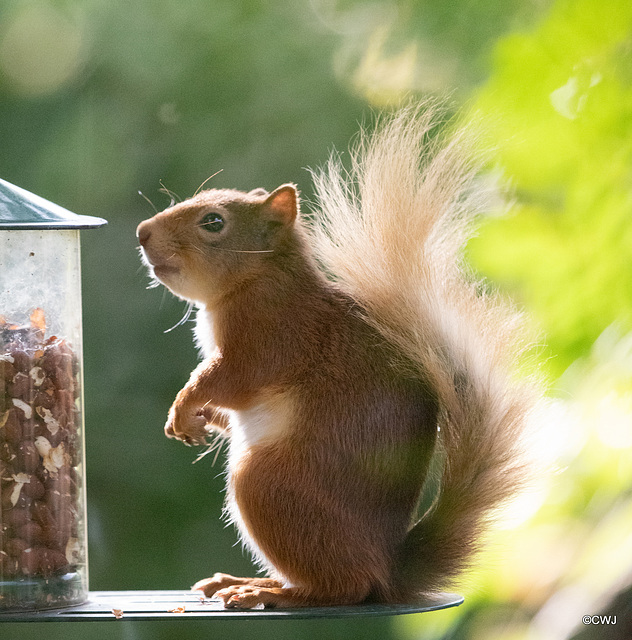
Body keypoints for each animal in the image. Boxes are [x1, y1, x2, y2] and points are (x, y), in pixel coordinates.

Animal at [136, 106, 536, 608]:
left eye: (213, 222)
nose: (142, 232)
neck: (259, 278)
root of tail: (387, 571)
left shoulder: (274, 335)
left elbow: (233, 380)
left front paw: (186, 405)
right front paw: (200, 420)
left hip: (269, 486)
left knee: (343, 587)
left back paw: (274, 592)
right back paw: (246, 582)